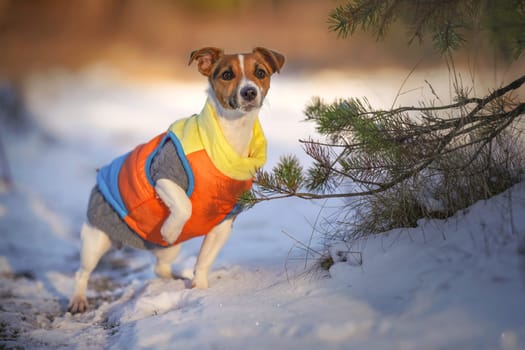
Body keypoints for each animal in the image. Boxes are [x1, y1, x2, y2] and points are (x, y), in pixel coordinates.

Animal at [67, 47, 284, 314]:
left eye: (260, 72)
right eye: (227, 74)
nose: (249, 92)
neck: (231, 136)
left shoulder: (223, 223)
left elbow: (204, 261)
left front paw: (200, 290)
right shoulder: (163, 177)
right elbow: (184, 204)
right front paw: (170, 230)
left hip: (169, 251)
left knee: (159, 268)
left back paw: (176, 278)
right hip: (95, 239)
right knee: (82, 272)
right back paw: (78, 299)